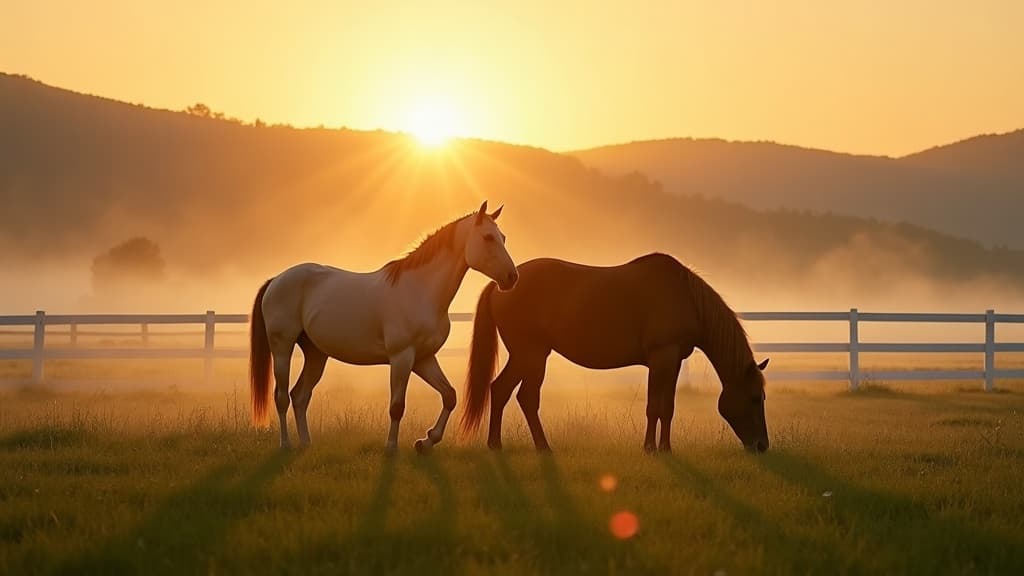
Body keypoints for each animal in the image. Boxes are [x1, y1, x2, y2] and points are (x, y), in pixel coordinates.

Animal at [249, 201, 518, 453]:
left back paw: (306, 443)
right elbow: (397, 406)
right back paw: (285, 445)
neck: (420, 290)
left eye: (503, 237)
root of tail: (276, 280)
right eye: (488, 237)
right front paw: (391, 448)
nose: (512, 277)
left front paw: (426, 441)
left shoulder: (424, 358)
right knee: (281, 397)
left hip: (316, 354)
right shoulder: (401, 357)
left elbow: (449, 396)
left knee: (300, 396)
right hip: (282, 348)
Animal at [459, 253, 770, 453]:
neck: (686, 297)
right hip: (530, 355)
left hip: (532, 356)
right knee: (514, 394)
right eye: (756, 397)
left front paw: (665, 448)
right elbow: (654, 406)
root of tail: (501, 284)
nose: (762, 446)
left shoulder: (672, 361)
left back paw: (518, 445)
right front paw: (650, 448)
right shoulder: (661, 358)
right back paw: (523, 446)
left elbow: (667, 407)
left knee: (511, 393)